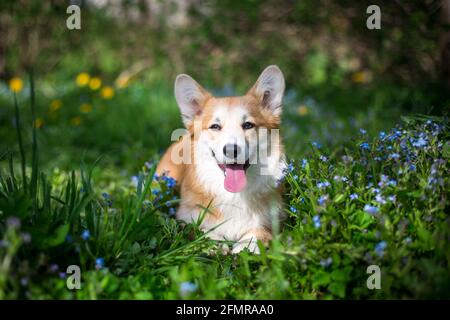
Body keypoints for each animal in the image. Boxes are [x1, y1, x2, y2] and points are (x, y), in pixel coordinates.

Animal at [156, 65, 286, 254]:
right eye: (215, 126)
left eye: (248, 125)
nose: (231, 150)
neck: (234, 195)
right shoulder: (186, 217)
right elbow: (202, 230)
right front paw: (213, 242)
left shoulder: (272, 218)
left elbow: (259, 231)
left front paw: (248, 245)